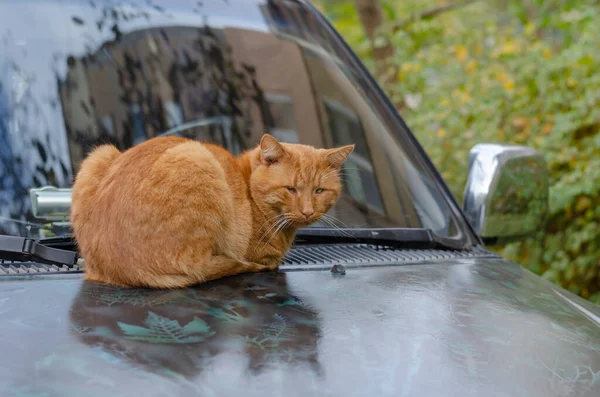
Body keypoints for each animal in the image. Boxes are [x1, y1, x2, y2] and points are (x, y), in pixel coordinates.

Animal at [71, 134, 354, 288]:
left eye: (319, 191)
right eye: (291, 189)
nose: (307, 212)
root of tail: (120, 270)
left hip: (99, 155)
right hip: (198, 159)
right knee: (199, 267)